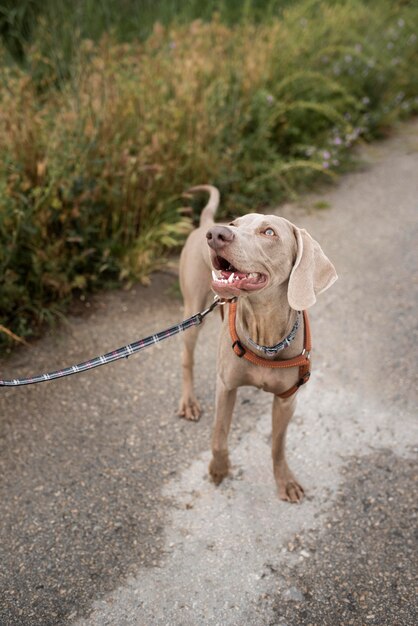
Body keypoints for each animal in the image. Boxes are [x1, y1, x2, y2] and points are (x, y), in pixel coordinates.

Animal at [177, 183, 336, 500]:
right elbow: (219, 436)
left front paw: (285, 480)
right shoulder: (226, 386)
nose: (216, 234)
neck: (266, 336)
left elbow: (278, 445)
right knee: (187, 358)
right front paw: (219, 469)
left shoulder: (287, 399)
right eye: (234, 223)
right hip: (192, 310)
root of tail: (203, 220)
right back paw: (189, 402)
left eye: (269, 232)